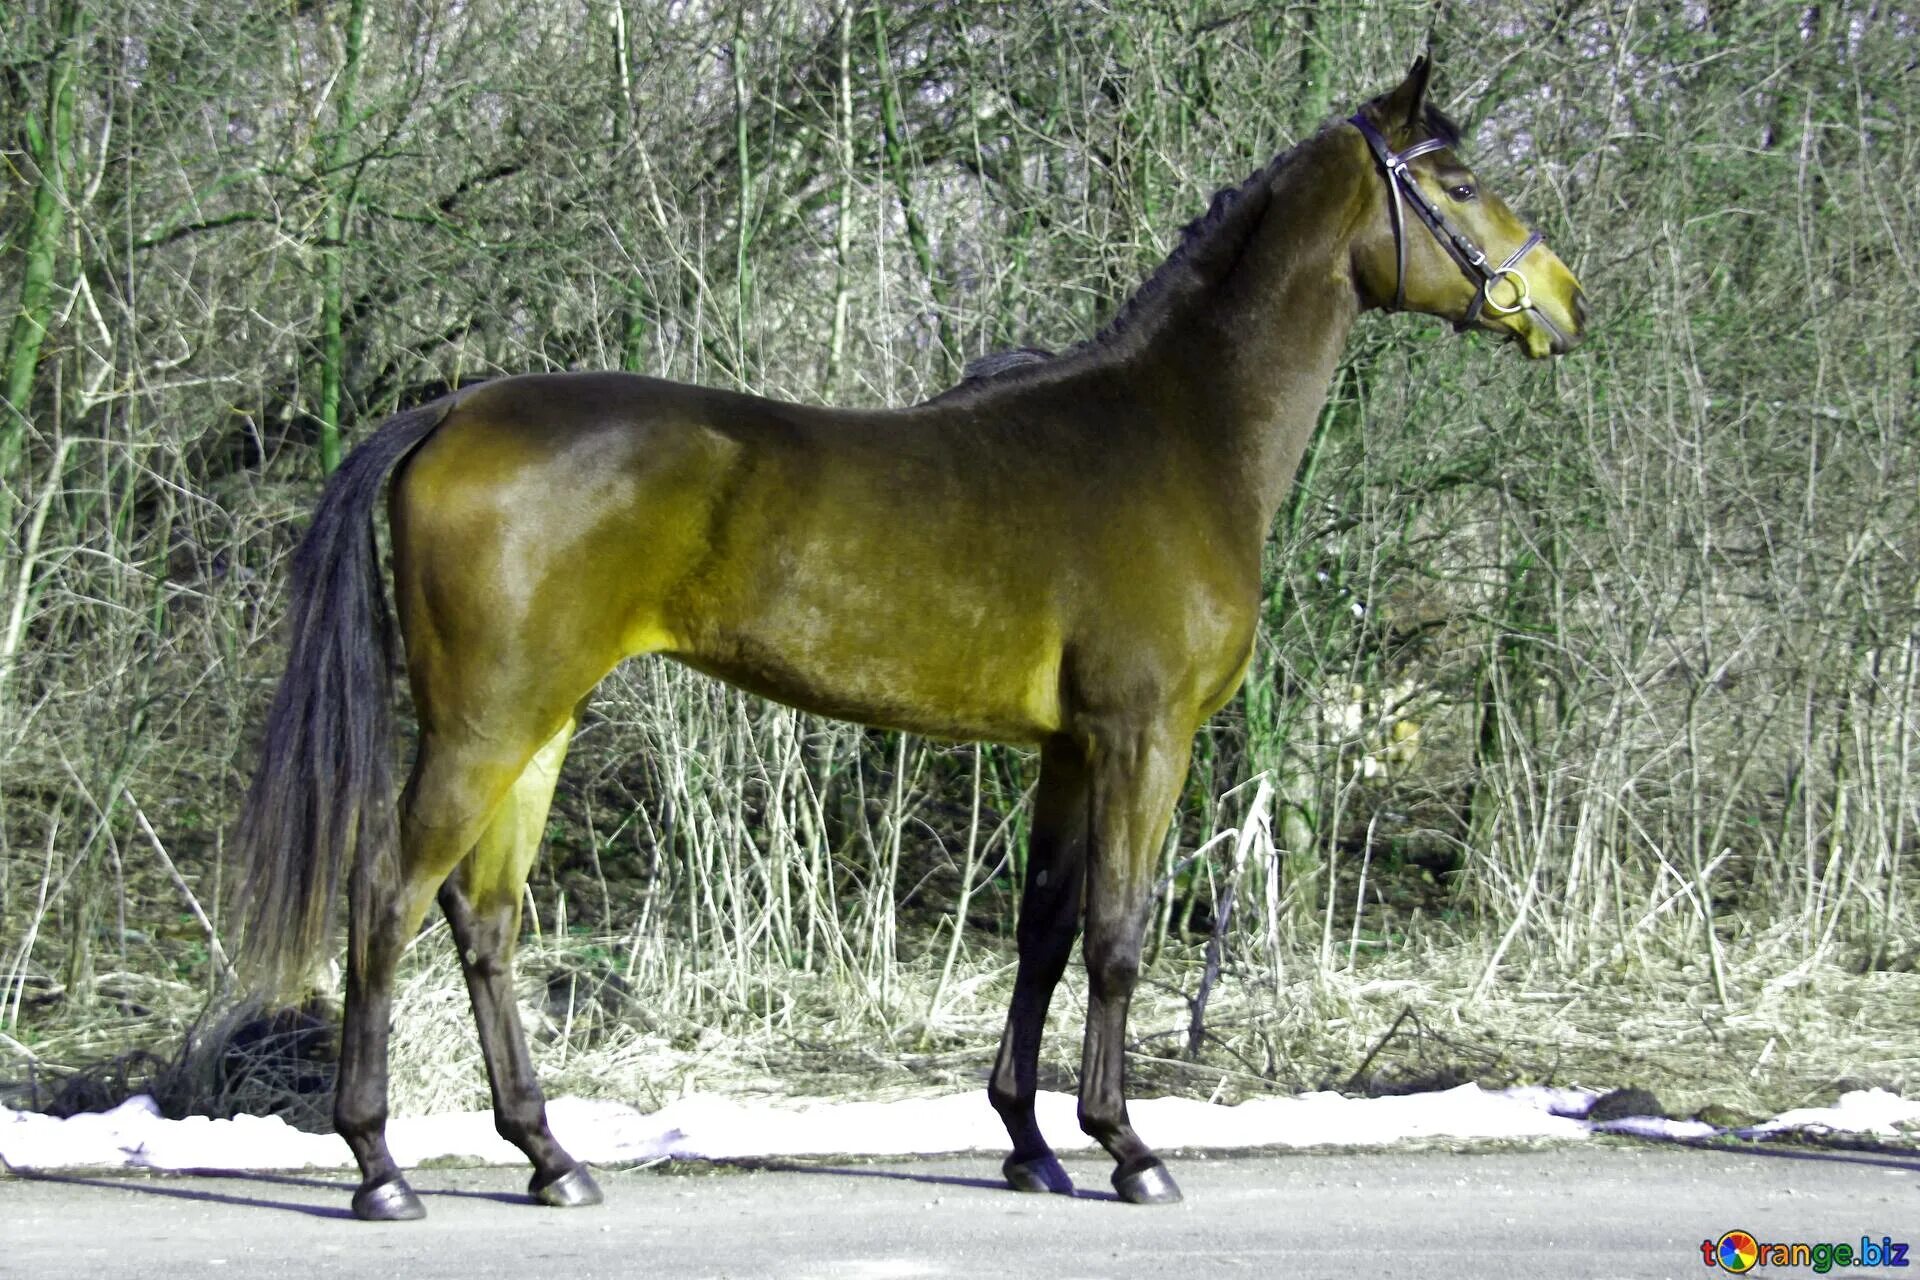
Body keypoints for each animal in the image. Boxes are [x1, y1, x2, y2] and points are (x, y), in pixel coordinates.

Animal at [232, 59, 1589, 1220]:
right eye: (1456, 178)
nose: (1564, 305)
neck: (1176, 434)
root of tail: (453, 409)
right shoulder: (1145, 736)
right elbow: (1117, 938)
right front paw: (1129, 1147)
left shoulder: (1071, 747)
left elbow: (1045, 929)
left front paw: (1032, 1141)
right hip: (484, 721)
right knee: (386, 897)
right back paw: (378, 1165)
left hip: (543, 722)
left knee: (486, 918)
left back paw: (550, 1156)